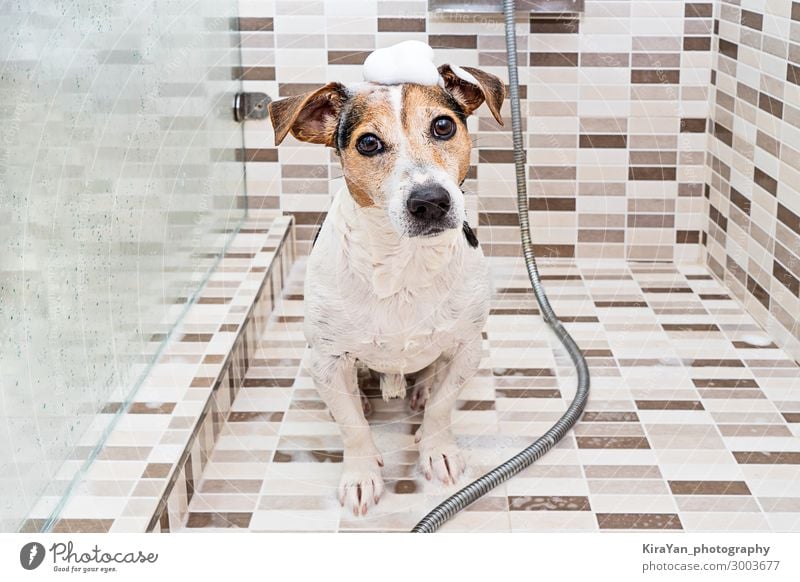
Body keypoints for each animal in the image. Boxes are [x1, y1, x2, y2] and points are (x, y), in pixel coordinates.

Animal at [270, 57, 506, 516]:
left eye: (443, 126)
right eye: (368, 143)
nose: (430, 201)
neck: (403, 262)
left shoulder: (468, 347)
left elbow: (442, 408)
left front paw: (437, 449)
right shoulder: (327, 358)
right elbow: (353, 428)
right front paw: (361, 475)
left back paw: (421, 390)